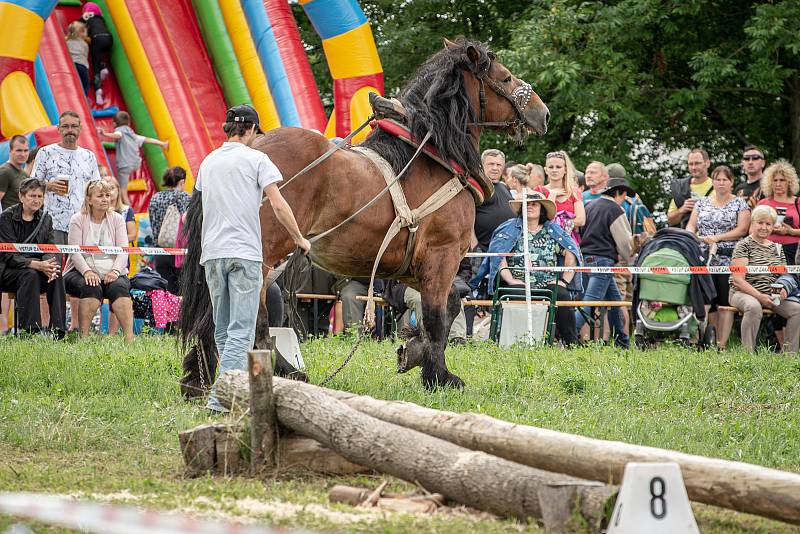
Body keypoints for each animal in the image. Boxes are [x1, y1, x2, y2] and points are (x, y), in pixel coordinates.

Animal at [177, 38, 548, 398]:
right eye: (505, 78)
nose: (541, 113)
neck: (432, 158)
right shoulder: (441, 257)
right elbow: (436, 319)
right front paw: (439, 376)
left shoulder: (412, 266)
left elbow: (449, 307)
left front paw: (413, 352)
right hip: (262, 258)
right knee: (251, 317)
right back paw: (278, 373)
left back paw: (207, 376)